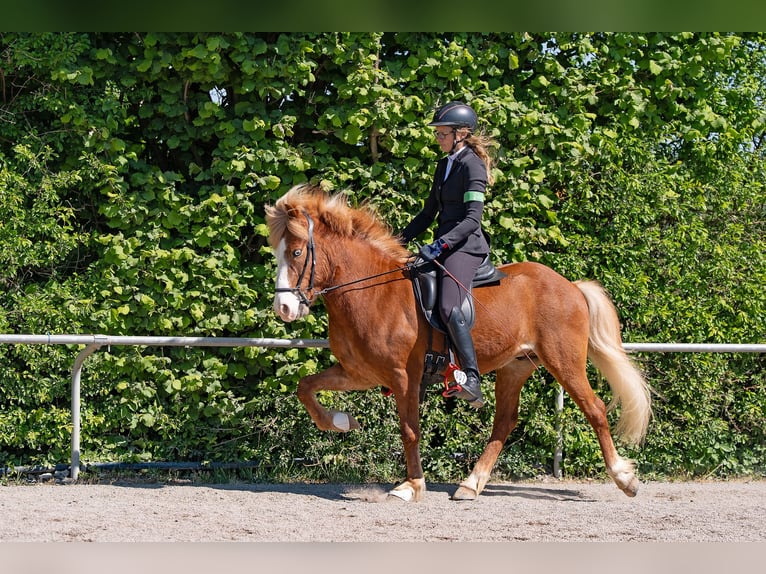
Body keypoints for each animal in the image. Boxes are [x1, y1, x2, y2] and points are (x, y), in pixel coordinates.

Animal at [265, 184, 651, 502]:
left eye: (297, 253)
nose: (283, 308)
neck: (370, 292)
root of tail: (570, 285)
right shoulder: (359, 373)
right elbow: (305, 387)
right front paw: (341, 421)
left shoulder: (403, 376)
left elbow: (409, 430)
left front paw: (411, 486)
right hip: (515, 367)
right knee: (504, 422)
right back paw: (470, 484)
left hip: (563, 360)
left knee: (595, 409)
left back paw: (624, 479)